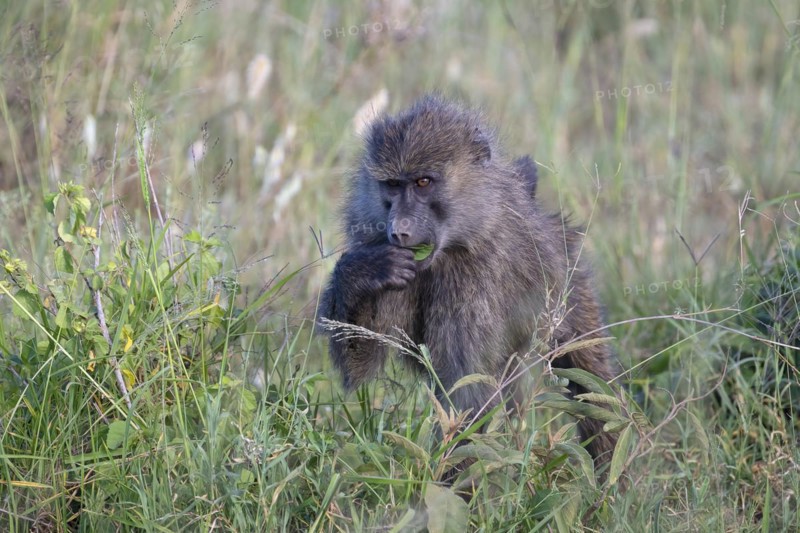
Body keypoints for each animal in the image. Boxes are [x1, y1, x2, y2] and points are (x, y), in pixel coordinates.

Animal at [319, 95, 620, 464]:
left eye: (423, 182)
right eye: (392, 185)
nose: (399, 231)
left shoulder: (477, 279)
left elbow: (467, 394)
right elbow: (359, 362)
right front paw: (362, 271)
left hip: (568, 294)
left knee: (591, 384)